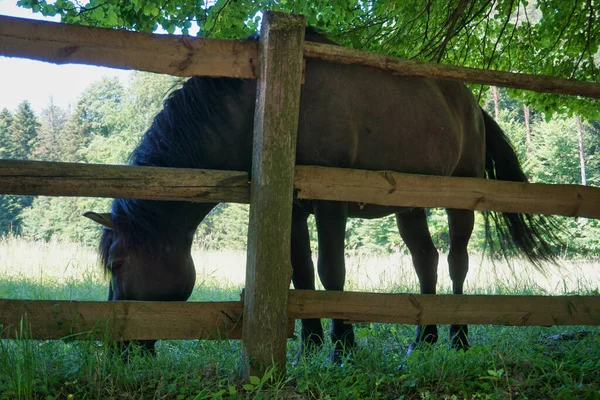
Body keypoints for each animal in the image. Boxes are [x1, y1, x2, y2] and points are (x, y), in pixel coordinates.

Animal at [85, 29, 564, 358]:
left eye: (117, 263)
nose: (115, 349)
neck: (276, 103)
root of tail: (472, 104)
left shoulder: (331, 206)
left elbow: (332, 271)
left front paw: (341, 348)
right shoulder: (295, 210)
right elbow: (300, 272)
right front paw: (311, 345)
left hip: (459, 200)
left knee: (457, 263)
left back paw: (458, 339)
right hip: (408, 205)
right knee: (425, 261)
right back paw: (423, 340)